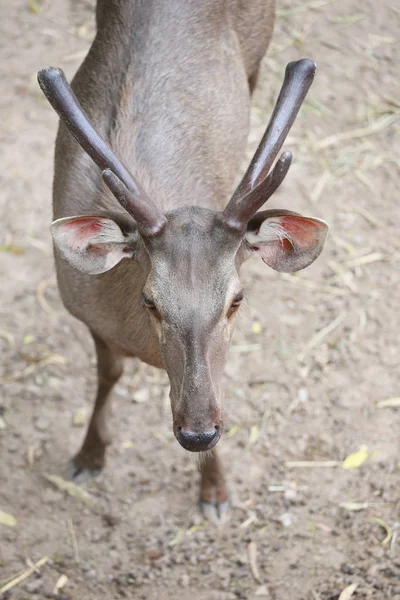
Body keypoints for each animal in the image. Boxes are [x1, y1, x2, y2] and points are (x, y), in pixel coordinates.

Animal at [36, 1, 328, 520]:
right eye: (150, 301)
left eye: (237, 299)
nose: (197, 434)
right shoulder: (87, 314)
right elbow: (108, 374)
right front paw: (89, 456)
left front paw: (215, 491)